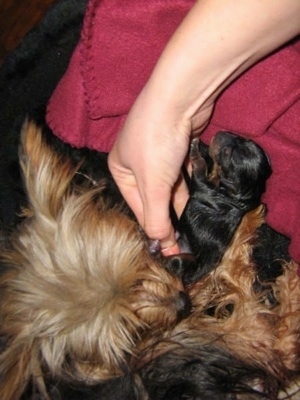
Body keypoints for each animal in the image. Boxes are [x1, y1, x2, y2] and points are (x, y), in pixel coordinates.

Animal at [173, 133, 272, 282]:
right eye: (243, 139)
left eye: (227, 153)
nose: (219, 133)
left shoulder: (206, 190)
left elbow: (199, 172)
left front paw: (195, 149)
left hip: (186, 261)